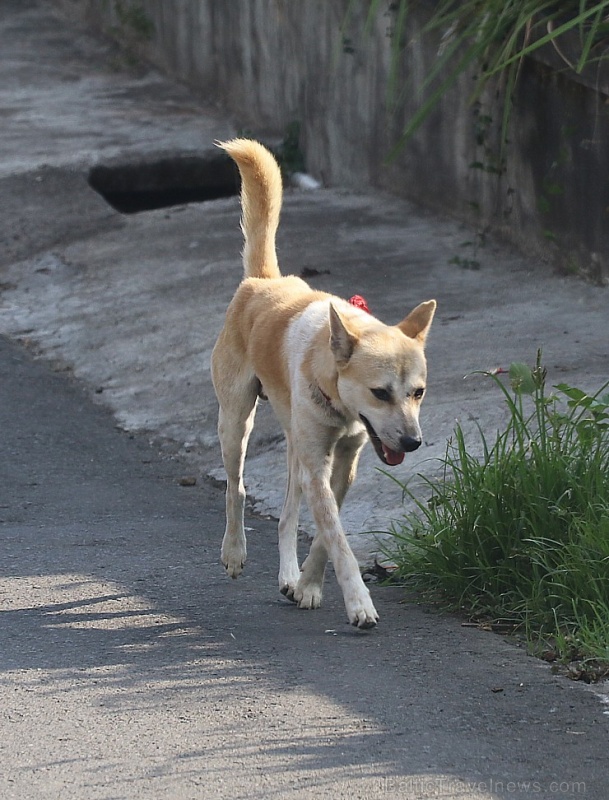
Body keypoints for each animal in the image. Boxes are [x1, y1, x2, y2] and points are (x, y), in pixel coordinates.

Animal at [211, 141, 434, 628]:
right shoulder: (318, 465)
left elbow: (324, 536)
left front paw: (309, 585)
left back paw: (288, 576)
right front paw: (359, 601)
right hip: (236, 421)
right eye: (380, 392)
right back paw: (234, 552)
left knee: (286, 515)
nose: (412, 442)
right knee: (236, 487)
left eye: (418, 392)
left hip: (295, 443)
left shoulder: (343, 464)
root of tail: (262, 282)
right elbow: (339, 541)